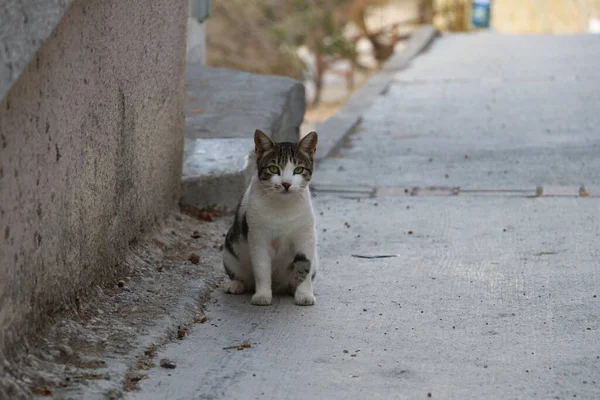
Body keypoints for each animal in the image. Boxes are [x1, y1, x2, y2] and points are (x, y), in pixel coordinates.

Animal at [221, 129, 318, 306]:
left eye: (298, 170)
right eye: (273, 169)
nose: (286, 183)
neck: (283, 206)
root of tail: (279, 286)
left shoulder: (305, 236)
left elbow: (304, 266)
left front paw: (304, 294)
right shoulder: (258, 238)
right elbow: (262, 268)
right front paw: (262, 295)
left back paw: (292, 288)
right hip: (230, 250)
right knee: (241, 276)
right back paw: (236, 284)